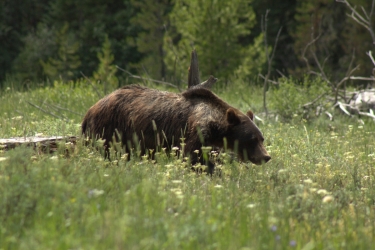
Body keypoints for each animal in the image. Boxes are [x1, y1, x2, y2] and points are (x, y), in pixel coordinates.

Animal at [81, 84, 270, 170]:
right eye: (252, 139)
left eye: (262, 138)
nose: (266, 156)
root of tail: (90, 109)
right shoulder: (196, 131)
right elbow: (193, 158)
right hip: (108, 127)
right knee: (105, 150)